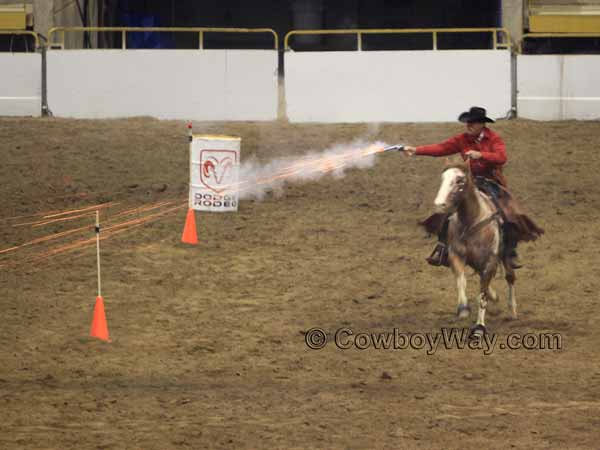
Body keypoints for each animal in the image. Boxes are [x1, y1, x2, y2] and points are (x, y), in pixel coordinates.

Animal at [428, 161, 516, 334]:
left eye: (459, 180)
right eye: (443, 178)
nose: (439, 204)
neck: (471, 222)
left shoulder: (490, 261)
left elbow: (482, 295)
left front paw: (479, 326)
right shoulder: (456, 255)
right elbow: (461, 281)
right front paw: (463, 308)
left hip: (504, 256)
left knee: (510, 277)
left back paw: (512, 309)